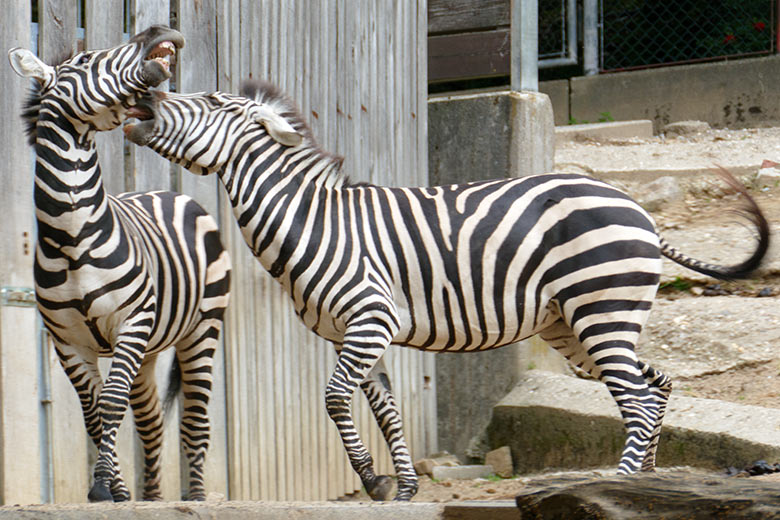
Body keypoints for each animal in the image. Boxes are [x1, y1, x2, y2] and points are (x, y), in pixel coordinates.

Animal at [7, 26, 232, 502]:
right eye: (87, 59)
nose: (162, 31)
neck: (72, 238)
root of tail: (170, 192)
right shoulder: (68, 342)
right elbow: (95, 414)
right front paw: (115, 492)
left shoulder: (131, 322)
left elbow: (111, 405)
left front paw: (102, 488)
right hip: (149, 348)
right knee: (150, 422)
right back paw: (152, 498)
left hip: (203, 326)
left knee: (195, 423)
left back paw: (196, 497)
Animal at [125, 81, 772, 500]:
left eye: (210, 103)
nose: (141, 104)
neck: (313, 223)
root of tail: (638, 211)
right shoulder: (357, 333)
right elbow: (386, 410)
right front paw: (403, 486)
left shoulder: (369, 318)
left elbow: (335, 399)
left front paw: (373, 480)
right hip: (575, 323)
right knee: (655, 387)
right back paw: (651, 485)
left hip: (600, 310)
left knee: (636, 399)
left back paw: (621, 480)